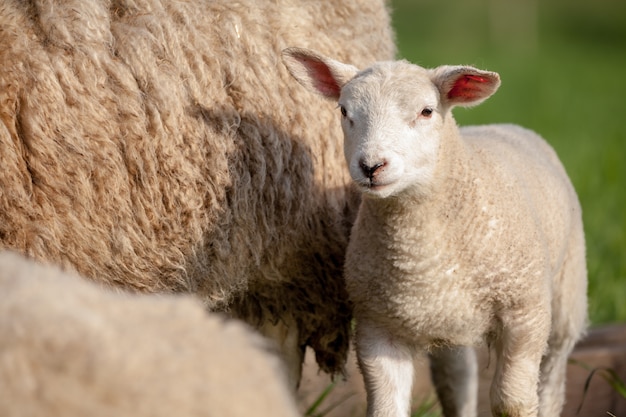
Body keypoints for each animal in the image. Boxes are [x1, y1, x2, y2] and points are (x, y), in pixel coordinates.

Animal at [280, 48, 588, 416]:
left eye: (426, 111)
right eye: (344, 111)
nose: (371, 166)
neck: (419, 250)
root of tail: (508, 126)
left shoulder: (524, 313)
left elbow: (512, 402)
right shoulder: (377, 327)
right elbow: (387, 408)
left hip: (566, 298)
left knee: (552, 379)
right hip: (449, 319)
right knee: (457, 379)